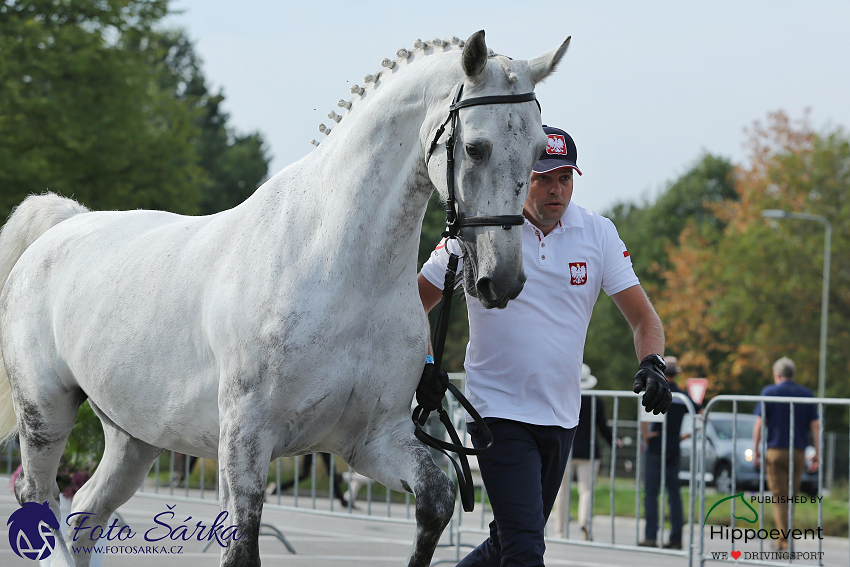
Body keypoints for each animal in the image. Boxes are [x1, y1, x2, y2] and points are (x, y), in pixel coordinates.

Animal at [1, 32, 568, 567]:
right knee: (37, 496)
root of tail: (62, 225)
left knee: (85, 512)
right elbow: (242, 546)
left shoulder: (371, 440)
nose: (503, 280)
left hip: (133, 437)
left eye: (539, 151)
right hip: (46, 411)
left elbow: (436, 499)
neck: (343, 271)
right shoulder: (247, 443)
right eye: (475, 148)